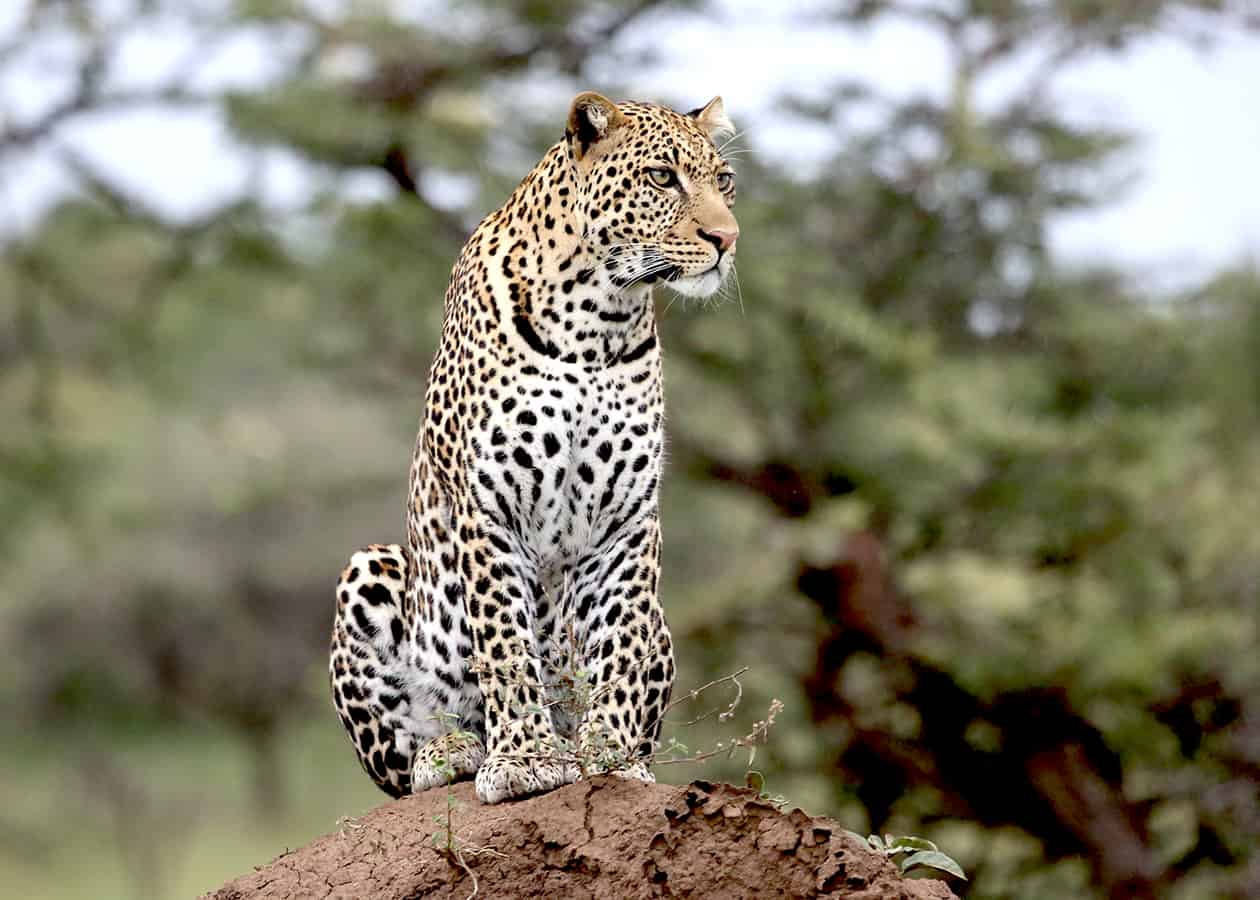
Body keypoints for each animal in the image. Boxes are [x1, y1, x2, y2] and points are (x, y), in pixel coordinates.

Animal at [329, 92, 740, 805]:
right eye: (663, 178)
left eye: (726, 181)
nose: (726, 239)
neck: (599, 320)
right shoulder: (489, 505)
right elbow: (505, 644)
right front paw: (524, 758)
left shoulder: (629, 517)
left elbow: (618, 647)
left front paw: (608, 757)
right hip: (370, 571)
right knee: (404, 766)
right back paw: (453, 750)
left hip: (662, 620)